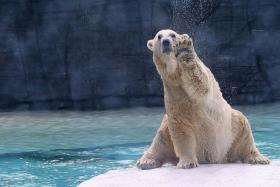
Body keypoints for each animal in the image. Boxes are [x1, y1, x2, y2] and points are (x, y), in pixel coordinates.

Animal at [137, 29, 270, 169]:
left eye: (173, 35)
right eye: (159, 37)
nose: (166, 42)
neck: (177, 75)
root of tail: (218, 159)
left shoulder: (198, 81)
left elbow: (201, 83)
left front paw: (184, 48)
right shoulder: (173, 90)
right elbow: (180, 127)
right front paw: (187, 163)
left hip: (232, 127)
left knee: (244, 130)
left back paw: (258, 158)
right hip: (167, 129)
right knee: (160, 139)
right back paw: (146, 162)